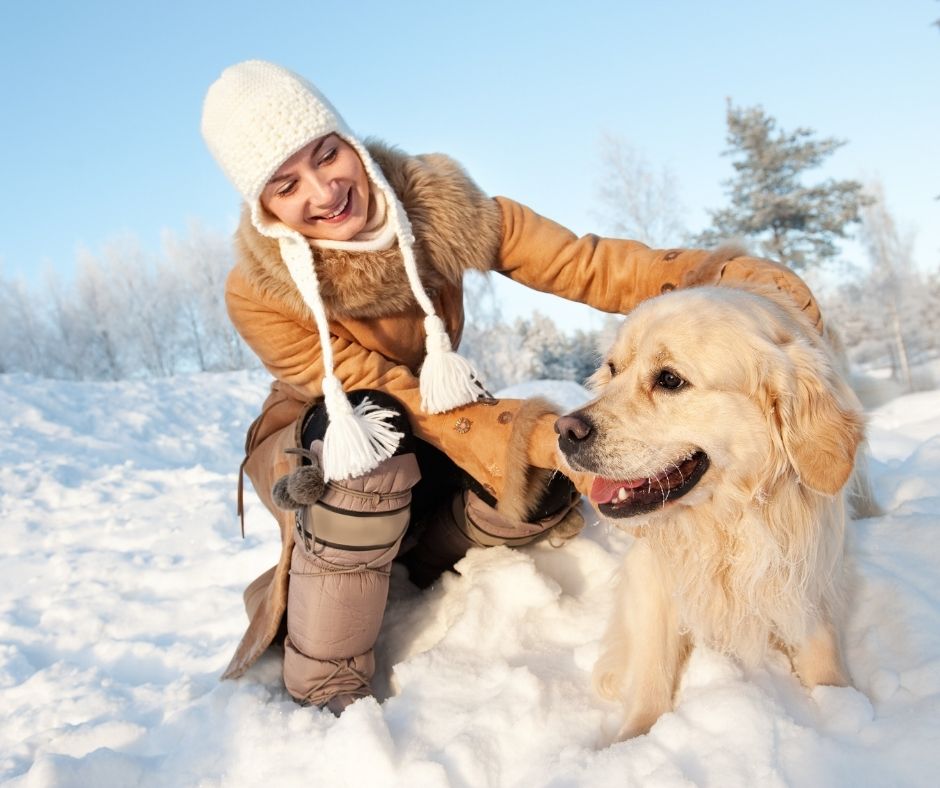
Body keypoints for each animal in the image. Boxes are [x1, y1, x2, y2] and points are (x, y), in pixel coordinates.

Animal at [556, 286, 872, 740]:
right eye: (613, 370)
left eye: (670, 379)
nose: (563, 431)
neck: (726, 522)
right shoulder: (653, 574)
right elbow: (653, 666)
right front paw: (634, 738)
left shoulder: (810, 562)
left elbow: (820, 646)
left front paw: (841, 706)